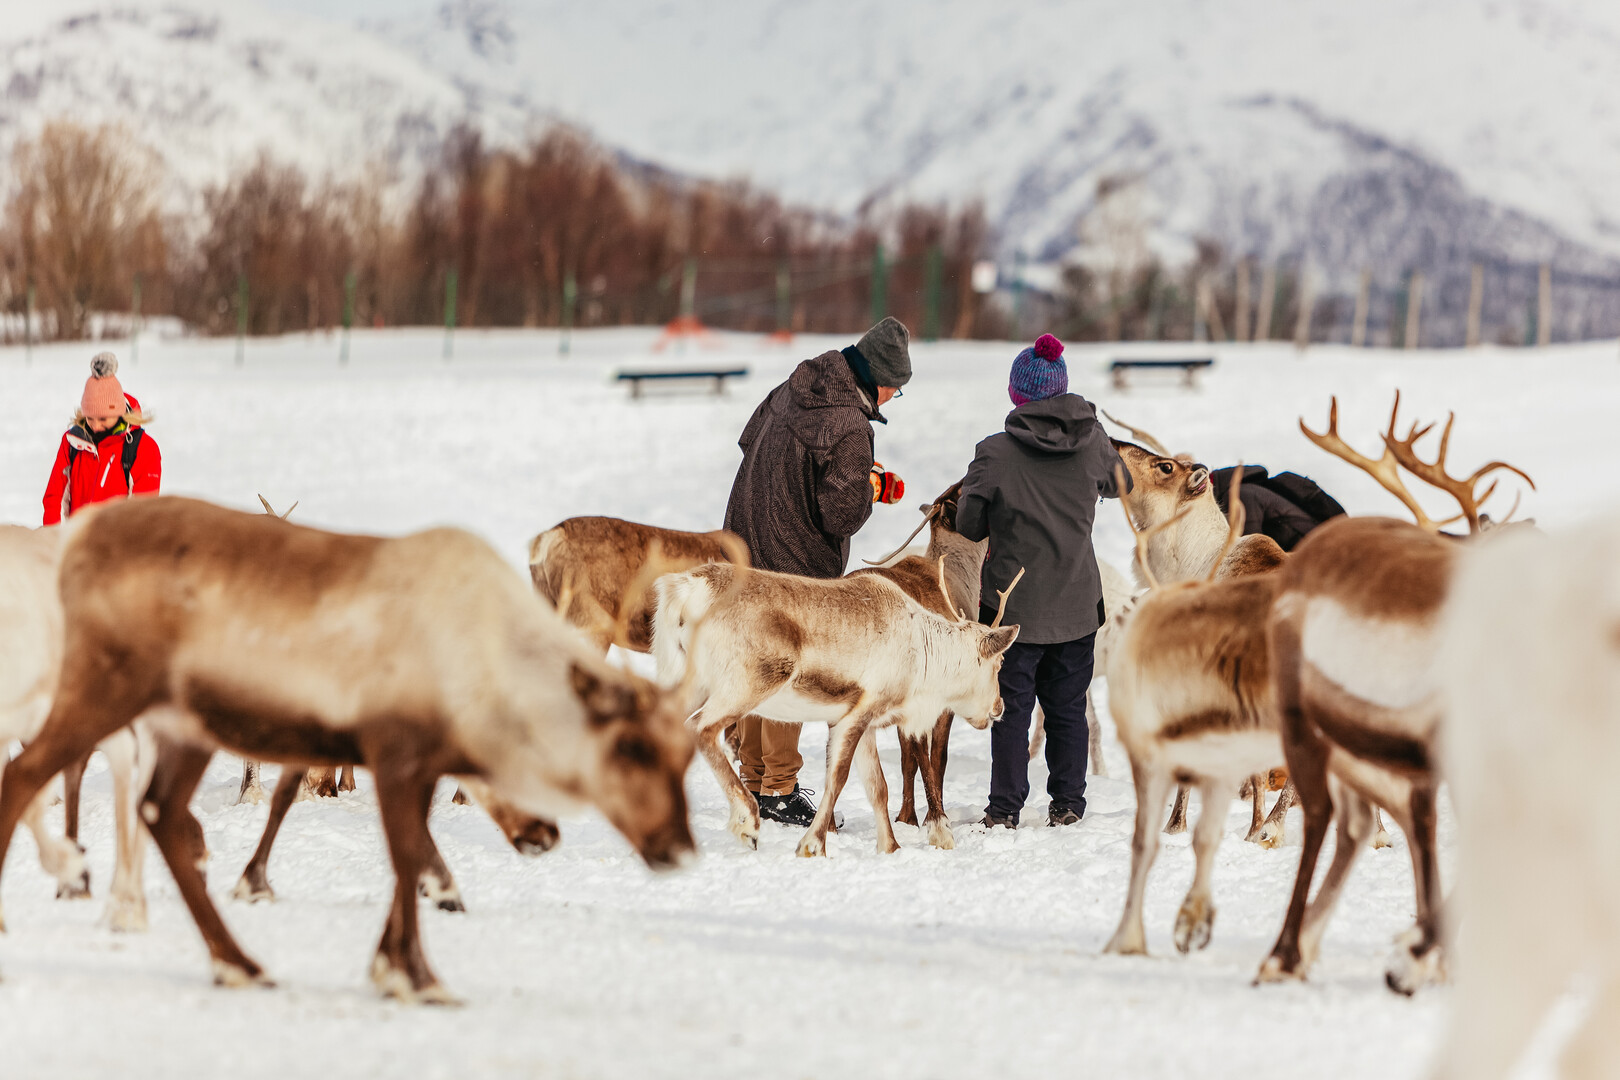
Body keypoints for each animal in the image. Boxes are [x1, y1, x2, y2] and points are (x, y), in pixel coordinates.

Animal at [0, 496, 700, 1002]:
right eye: (629, 747)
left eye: (682, 756)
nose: (677, 847)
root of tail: (77, 547)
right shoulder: (393, 749)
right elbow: (401, 850)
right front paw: (414, 970)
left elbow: (407, 848)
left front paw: (401, 954)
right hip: (101, 690)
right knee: (29, 774)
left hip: (179, 724)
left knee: (159, 812)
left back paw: (236, 961)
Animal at [651, 559, 1020, 857]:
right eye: (1000, 663)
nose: (999, 706)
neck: (927, 656)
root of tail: (688, 588)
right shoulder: (856, 714)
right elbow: (838, 779)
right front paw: (813, 844)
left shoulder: (864, 723)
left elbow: (877, 787)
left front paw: (891, 848)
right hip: (748, 683)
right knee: (701, 729)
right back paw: (747, 823)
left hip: (687, 681)